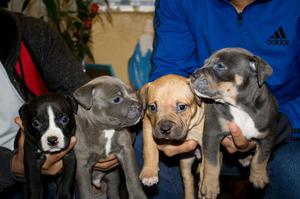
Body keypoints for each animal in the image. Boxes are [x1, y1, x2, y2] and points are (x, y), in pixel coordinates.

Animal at [190, 47, 278, 199]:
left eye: (220, 66)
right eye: (205, 63)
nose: (193, 74)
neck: (240, 106)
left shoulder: (268, 135)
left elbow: (261, 157)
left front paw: (259, 177)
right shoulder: (212, 134)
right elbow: (211, 163)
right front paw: (210, 186)